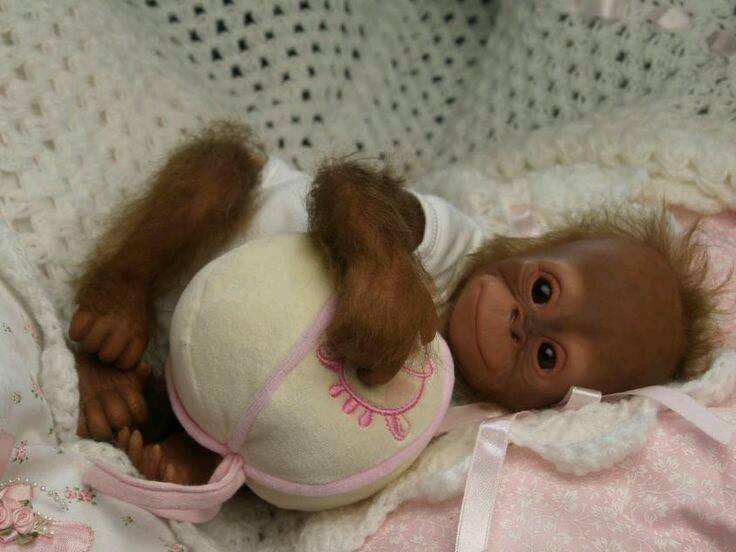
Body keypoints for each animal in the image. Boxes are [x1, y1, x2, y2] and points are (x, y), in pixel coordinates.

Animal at [68, 122, 720, 485]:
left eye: (546, 356)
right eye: (542, 290)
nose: (515, 323)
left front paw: (181, 460)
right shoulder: (453, 229)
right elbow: (374, 203)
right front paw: (385, 302)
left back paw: (117, 397)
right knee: (218, 169)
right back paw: (109, 324)